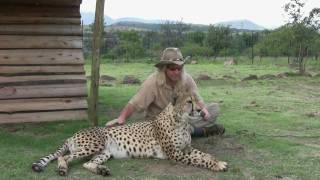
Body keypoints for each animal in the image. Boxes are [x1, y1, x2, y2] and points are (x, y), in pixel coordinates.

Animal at [31, 95, 228, 176]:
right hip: (94, 145)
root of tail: (73, 134)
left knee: (87, 163)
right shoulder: (175, 154)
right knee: (63, 157)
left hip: (104, 152)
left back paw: (101, 170)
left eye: (196, 100)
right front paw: (216, 165)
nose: (201, 110)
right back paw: (63, 169)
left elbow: (205, 155)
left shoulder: (186, 148)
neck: (181, 121)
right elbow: (198, 160)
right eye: (189, 102)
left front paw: (218, 161)